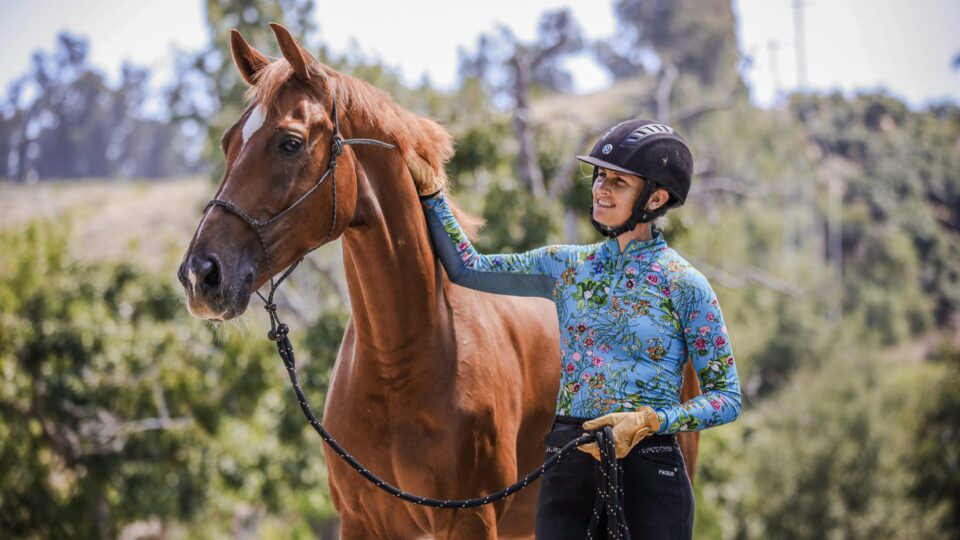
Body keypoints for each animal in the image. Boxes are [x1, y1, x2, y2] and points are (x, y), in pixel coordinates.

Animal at [178, 23, 701, 539]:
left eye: (289, 141)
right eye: (228, 142)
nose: (200, 275)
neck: (398, 366)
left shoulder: (469, 520)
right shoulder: (360, 522)